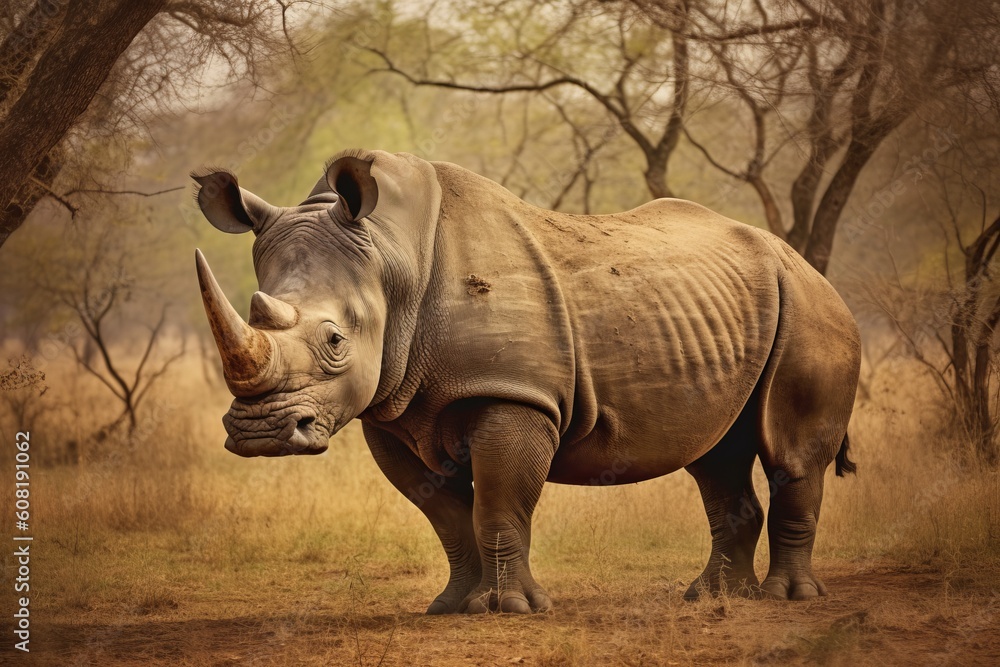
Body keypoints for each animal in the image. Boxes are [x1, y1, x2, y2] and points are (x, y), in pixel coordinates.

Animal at [192, 148, 860, 613]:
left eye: (335, 341)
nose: (261, 434)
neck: (390, 257)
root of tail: (808, 265)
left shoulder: (512, 394)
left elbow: (498, 503)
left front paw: (509, 608)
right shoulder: (393, 407)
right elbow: (445, 515)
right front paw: (450, 607)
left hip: (810, 306)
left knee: (789, 452)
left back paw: (786, 599)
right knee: (715, 454)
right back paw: (713, 598)